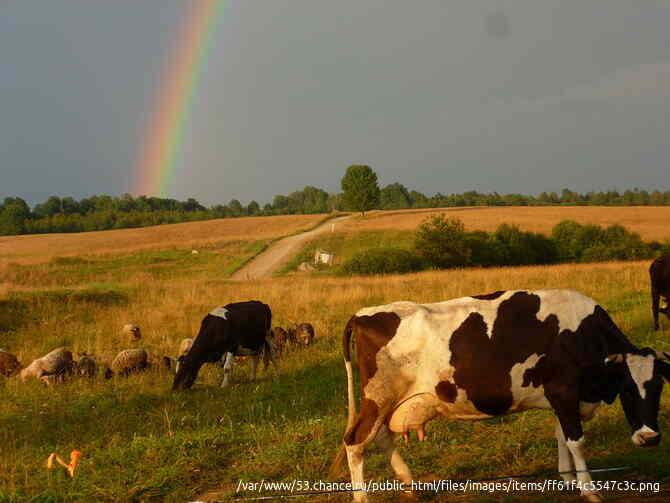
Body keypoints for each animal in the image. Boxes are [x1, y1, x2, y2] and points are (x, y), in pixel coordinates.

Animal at [334, 290, 670, 502]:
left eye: (658, 387)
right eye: (627, 388)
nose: (650, 438)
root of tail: (363, 313)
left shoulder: (560, 398)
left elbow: (561, 435)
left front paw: (567, 480)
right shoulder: (564, 391)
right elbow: (576, 440)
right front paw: (588, 489)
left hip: (386, 400)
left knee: (380, 437)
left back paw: (410, 483)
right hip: (379, 396)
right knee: (356, 441)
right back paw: (362, 498)